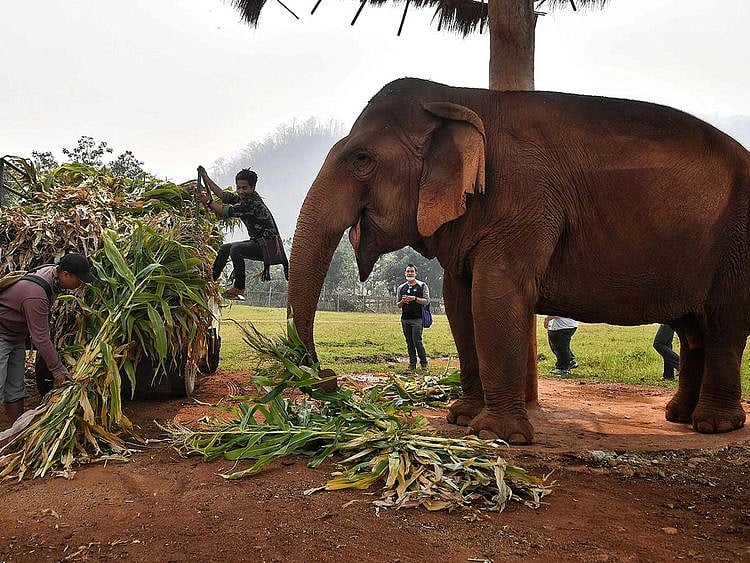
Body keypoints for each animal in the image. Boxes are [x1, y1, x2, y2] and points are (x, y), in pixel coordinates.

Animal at [287, 77, 750, 444]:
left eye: (362, 159)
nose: (327, 379)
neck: (458, 98)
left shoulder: (526, 204)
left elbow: (495, 296)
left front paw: (497, 434)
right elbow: (460, 302)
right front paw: (461, 418)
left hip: (736, 245)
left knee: (722, 325)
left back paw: (715, 425)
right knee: (693, 330)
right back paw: (680, 416)